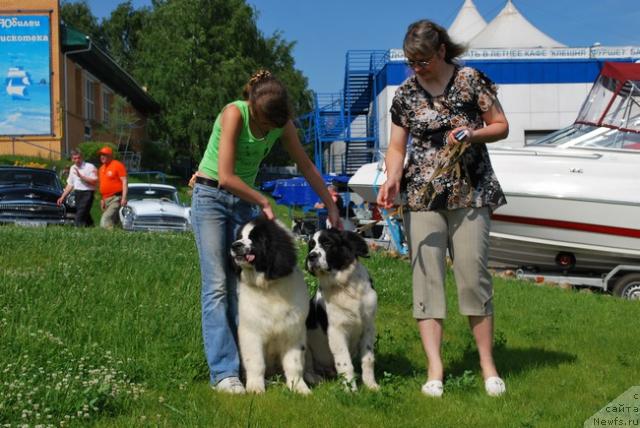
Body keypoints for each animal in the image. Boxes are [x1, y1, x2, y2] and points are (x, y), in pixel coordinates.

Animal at [231, 217, 312, 394]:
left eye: (255, 238)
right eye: (239, 236)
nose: (234, 245)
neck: (269, 288)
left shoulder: (294, 331)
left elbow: (294, 363)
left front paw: (299, 387)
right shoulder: (251, 332)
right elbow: (255, 362)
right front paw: (255, 387)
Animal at [304, 231, 380, 392]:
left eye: (327, 243)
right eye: (311, 246)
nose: (311, 256)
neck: (346, 287)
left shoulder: (368, 327)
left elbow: (369, 359)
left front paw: (371, 385)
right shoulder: (337, 331)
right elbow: (345, 362)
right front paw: (350, 389)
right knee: (306, 369)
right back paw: (315, 378)